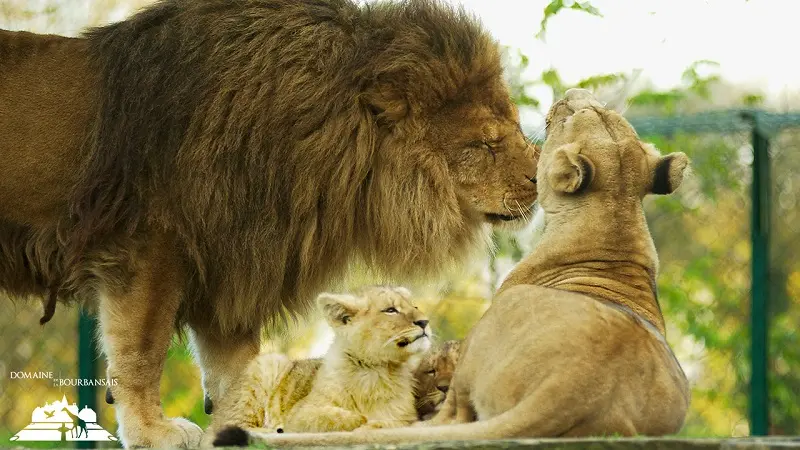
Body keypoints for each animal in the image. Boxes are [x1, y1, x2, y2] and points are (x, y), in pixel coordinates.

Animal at [1, 0, 536, 446]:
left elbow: (240, 368)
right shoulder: (146, 246)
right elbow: (141, 352)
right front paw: (153, 432)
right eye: (485, 144)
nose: (537, 177)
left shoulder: (234, 261)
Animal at [222, 89, 692, 446]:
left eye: (576, 115)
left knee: (449, 416)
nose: (573, 93)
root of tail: (575, 388)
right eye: (600, 112)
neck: (615, 224)